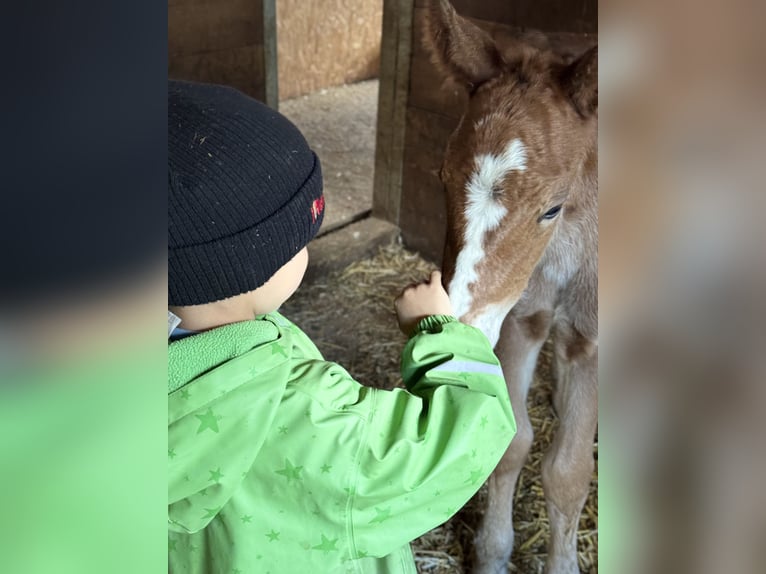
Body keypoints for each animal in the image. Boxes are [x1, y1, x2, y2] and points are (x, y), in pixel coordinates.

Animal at [422, 2, 598, 573]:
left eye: (551, 207)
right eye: (441, 177)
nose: (451, 327)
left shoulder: (591, 342)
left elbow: (568, 472)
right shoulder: (522, 319)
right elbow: (516, 443)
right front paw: (492, 554)